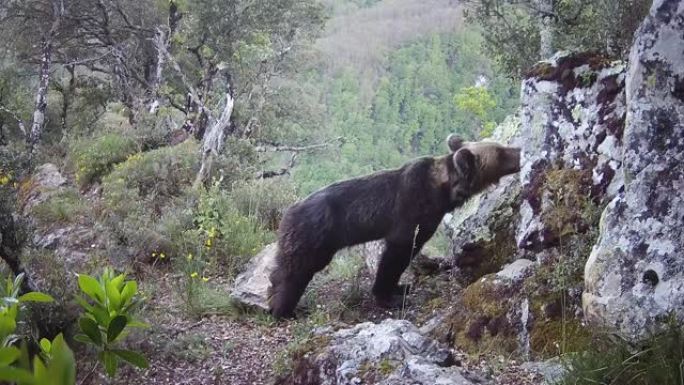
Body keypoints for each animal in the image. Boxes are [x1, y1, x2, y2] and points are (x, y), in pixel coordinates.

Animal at [270, 134, 520, 316]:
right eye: (500, 151)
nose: (519, 152)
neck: (443, 191)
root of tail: (287, 213)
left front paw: (401, 287)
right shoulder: (412, 213)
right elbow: (396, 255)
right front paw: (389, 295)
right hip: (313, 237)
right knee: (295, 272)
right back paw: (283, 309)